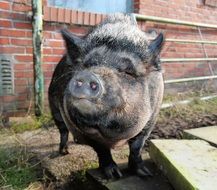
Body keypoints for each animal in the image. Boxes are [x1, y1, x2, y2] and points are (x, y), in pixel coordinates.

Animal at [48, 14, 164, 179]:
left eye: (128, 71)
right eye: (86, 65)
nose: (88, 75)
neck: (114, 136)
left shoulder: (151, 120)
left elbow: (137, 146)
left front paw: (145, 174)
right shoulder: (84, 131)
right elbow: (101, 149)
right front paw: (114, 175)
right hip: (54, 107)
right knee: (62, 131)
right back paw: (64, 152)